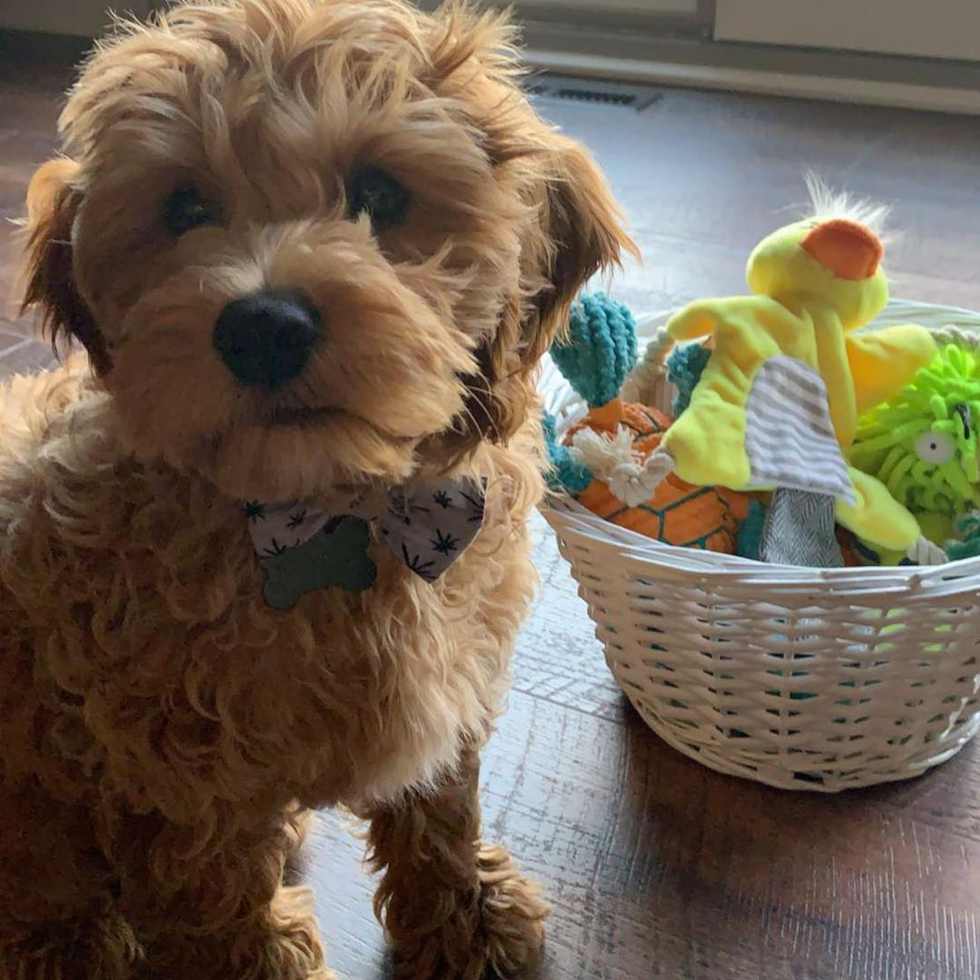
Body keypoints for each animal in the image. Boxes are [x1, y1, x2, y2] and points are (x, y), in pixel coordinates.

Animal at [0, 3, 632, 976]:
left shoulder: (453, 682)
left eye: (380, 192)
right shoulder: (170, 769)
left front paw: (466, 916)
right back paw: (73, 941)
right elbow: (211, 891)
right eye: (184, 209)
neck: (343, 505)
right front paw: (259, 957)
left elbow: (440, 810)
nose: (263, 326)